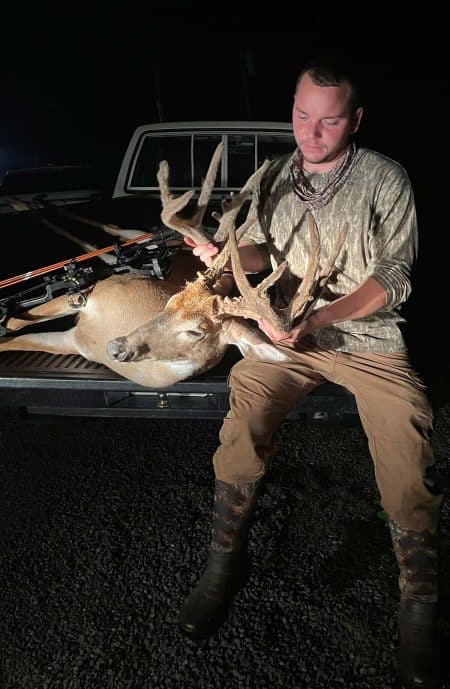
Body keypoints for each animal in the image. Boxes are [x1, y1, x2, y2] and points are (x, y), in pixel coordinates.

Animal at [0, 143, 348, 388]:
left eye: (196, 331)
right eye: (169, 302)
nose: (117, 347)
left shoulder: (72, 339)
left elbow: (14, 337)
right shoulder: (97, 292)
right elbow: (17, 323)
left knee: (104, 249)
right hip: (134, 238)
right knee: (111, 228)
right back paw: (31, 204)